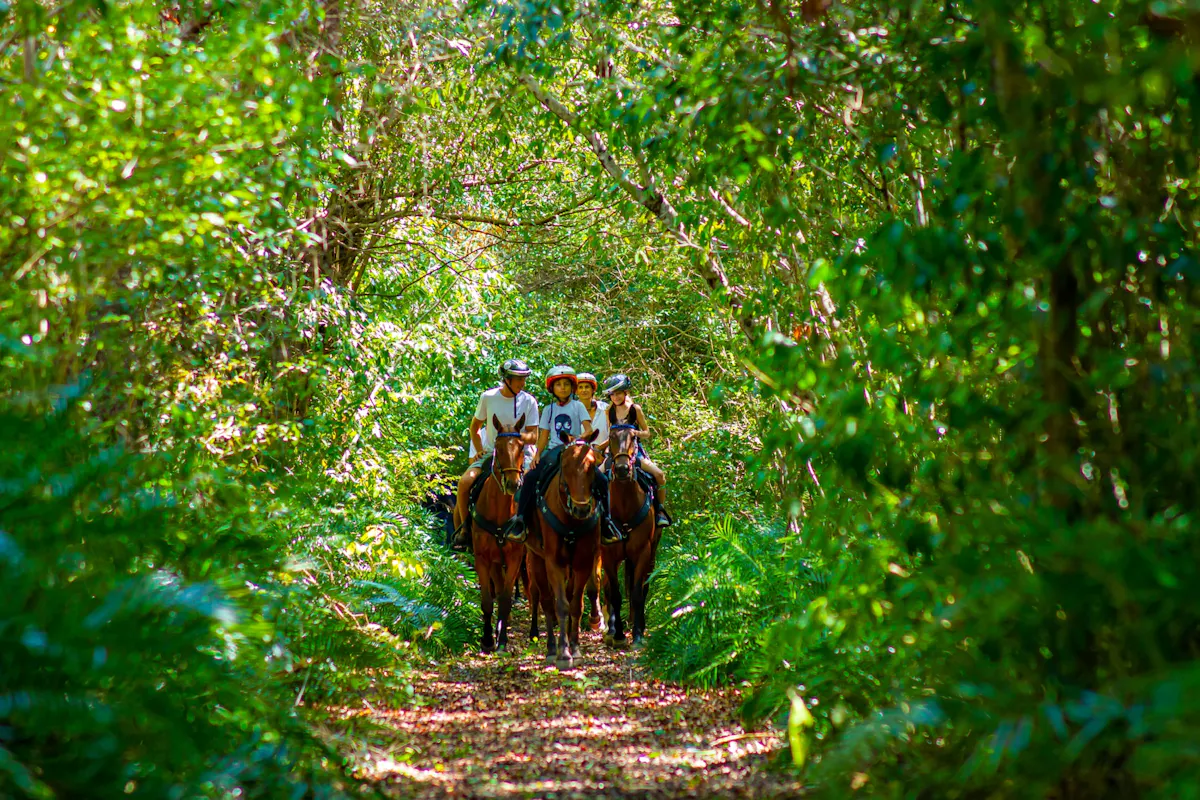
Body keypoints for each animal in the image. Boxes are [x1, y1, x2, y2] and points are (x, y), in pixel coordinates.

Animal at [525, 428, 602, 669]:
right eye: (565, 465)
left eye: (592, 465)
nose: (581, 509)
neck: (571, 520)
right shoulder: (554, 562)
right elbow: (560, 605)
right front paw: (563, 653)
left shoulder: (583, 562)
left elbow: (575, 604)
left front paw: (575, 649)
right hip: (536, 559)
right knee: (546, 601)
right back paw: (551, 648)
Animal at [599, 423, 661, 647]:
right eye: (610, 437)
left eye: (634, 438)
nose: (622, 469)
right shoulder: (608, 554)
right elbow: (615, 593)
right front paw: (617, 635)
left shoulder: (642, 551)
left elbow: (636, 592)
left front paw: (638, 634)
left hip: (652, 551)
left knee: (644, 585)